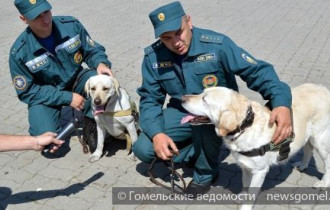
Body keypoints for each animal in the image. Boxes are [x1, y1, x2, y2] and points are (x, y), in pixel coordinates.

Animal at [182, 83, 328, 209]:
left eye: (204, 99)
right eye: (202, 93)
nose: (182, 98)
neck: (245, 126)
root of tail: (323, 88)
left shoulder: (260, 171)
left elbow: (252, 193)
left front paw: (245, 207)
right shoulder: (245, 166)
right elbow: (246, 184)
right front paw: (242, 196)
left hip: (320, 139)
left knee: (327, 161)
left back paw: (323, 183)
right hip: (309, 137)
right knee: (309, 149)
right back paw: (303, 165)